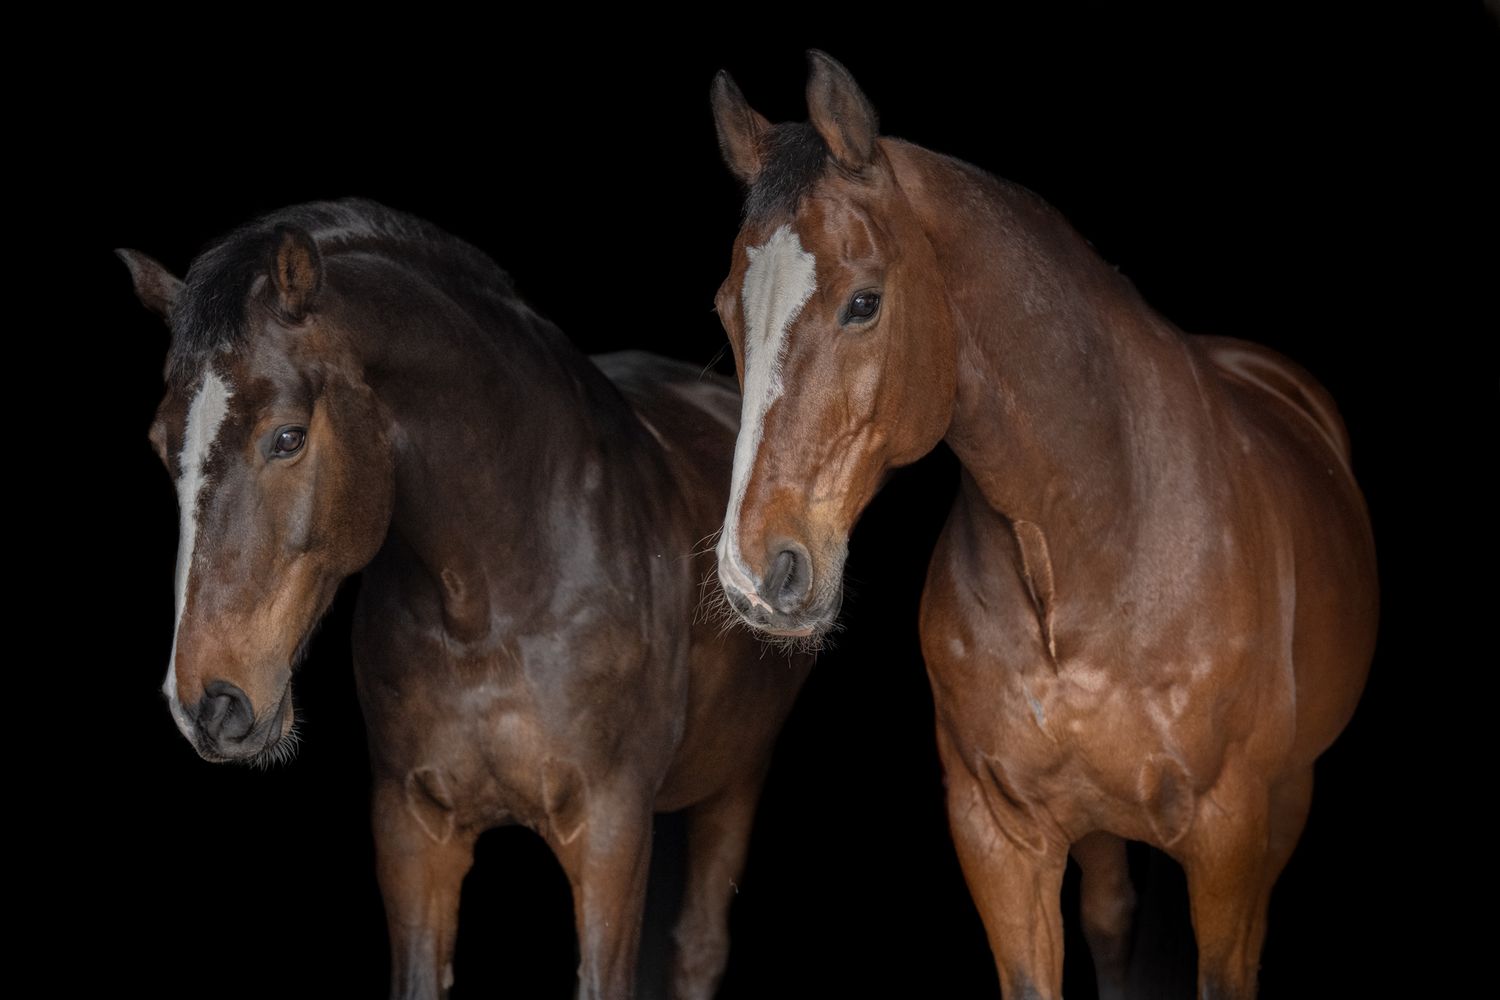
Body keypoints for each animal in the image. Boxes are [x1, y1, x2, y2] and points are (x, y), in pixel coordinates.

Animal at [118, 199, 810, 1000]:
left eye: (287, 438)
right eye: (161, 445)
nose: (207, 705)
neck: (493, 595)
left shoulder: (611, 829)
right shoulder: (413, 830)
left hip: (735, 781)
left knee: (698, 947)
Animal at [706, 52, 1377, 999]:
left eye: (865, 303)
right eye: (726, 308)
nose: (756, 574)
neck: (1096, 539)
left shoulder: (1229, 834)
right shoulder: (999, 834)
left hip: (1285, 803)